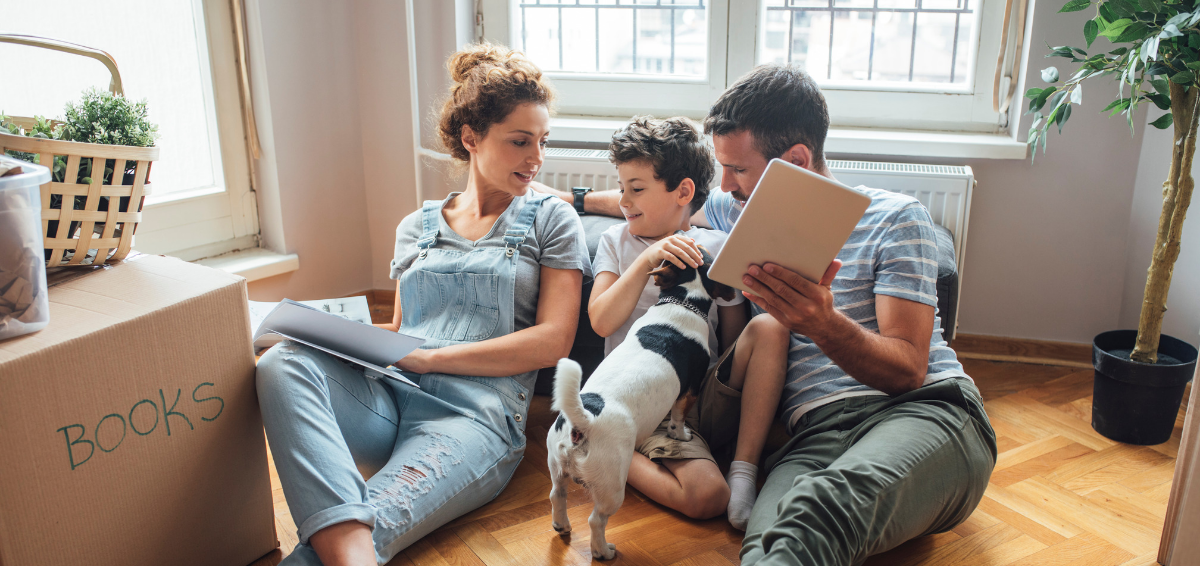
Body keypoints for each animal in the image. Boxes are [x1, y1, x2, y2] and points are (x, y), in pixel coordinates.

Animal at [544, 247, 729, 556]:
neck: (684, 300)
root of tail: (584, 421)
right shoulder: (689, 390)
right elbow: (678, 418)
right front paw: (681, 434)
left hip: (557, 466)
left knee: (557, 495)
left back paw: (562, 525)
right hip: (612, 486)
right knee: (596, 520)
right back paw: (603, 551)